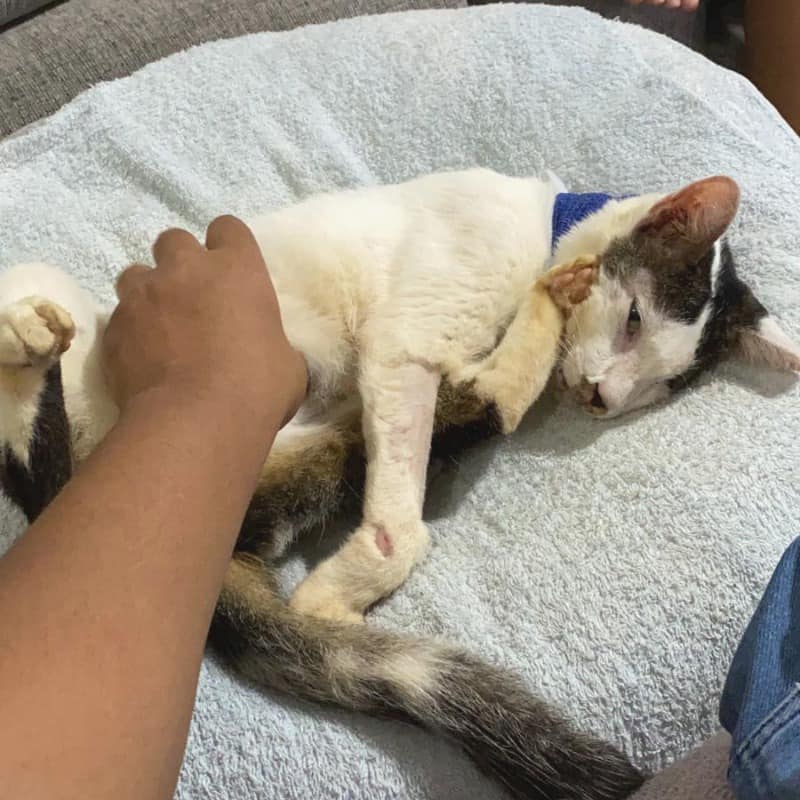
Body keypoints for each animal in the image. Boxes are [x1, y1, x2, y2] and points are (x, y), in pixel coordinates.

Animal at [1, 168, 798, 800]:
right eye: (633, 320)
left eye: (659, 389)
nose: (604, 398)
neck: (545, 226)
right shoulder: (409, 339)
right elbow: (404, 499)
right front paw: (351, 577)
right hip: (71, 328)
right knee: (33, 457)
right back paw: (25, 341)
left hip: (309, 445)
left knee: (484, 406)